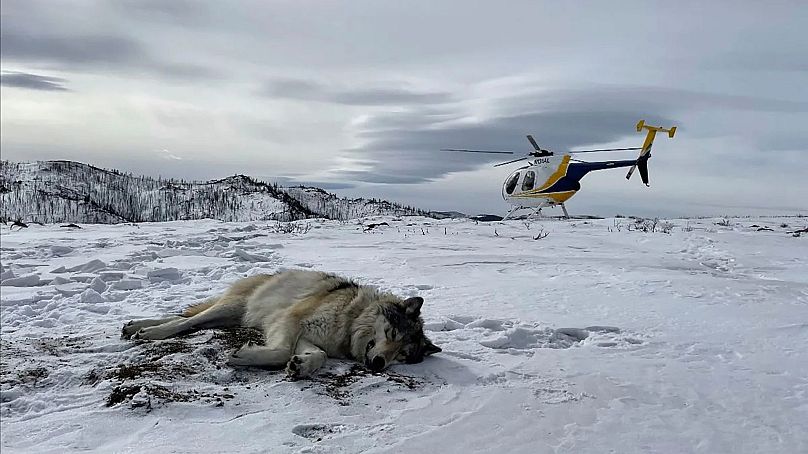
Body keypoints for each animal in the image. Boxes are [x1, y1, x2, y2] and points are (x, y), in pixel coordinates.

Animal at [118, 270, 442, 380]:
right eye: (392, 333)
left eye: (402, 355)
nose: (378, 364)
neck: (350, 318)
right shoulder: (289, 320)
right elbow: (282, 350)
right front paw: (245, 356)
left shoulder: (309, 337)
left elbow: (317, 356)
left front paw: (301, 366)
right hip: (234, 306)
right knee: (187, 320)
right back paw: (149, 331)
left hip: (231, 315)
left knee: (186, 319)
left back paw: (135, 326)